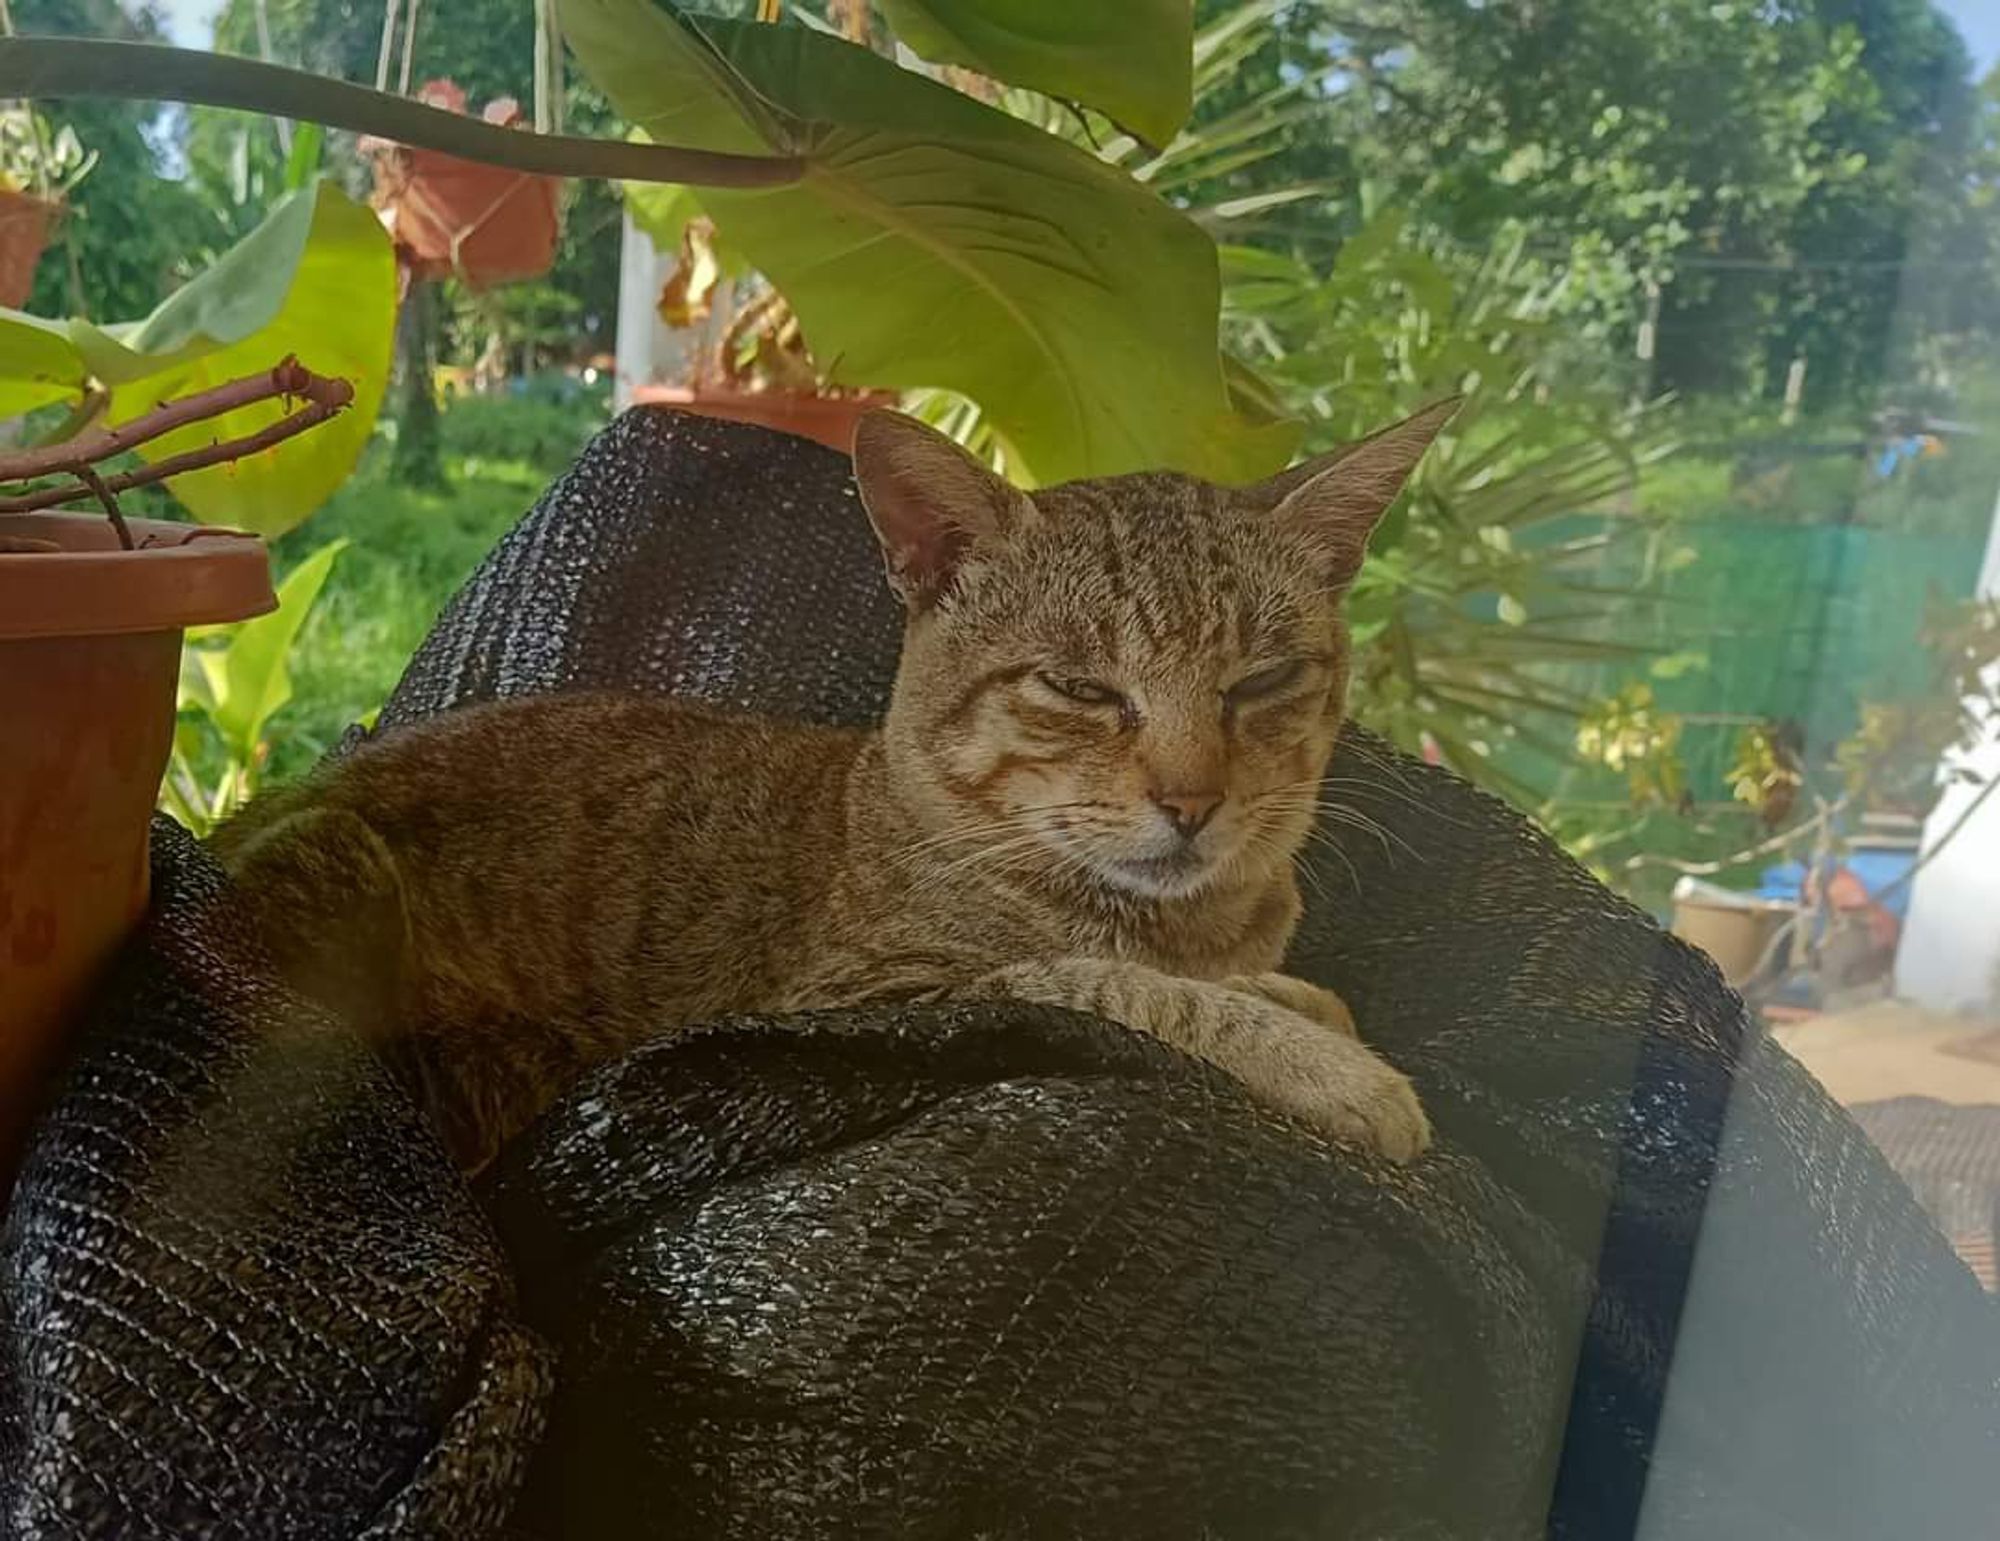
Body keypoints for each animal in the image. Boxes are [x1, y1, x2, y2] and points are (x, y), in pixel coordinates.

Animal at [215, 402, 1456, 1168]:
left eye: (1264, 680)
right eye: (1079, 686)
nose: (1193, 802)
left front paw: (1293, 999)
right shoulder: (865, 995)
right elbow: (1103, 979)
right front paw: (1327, 1065)